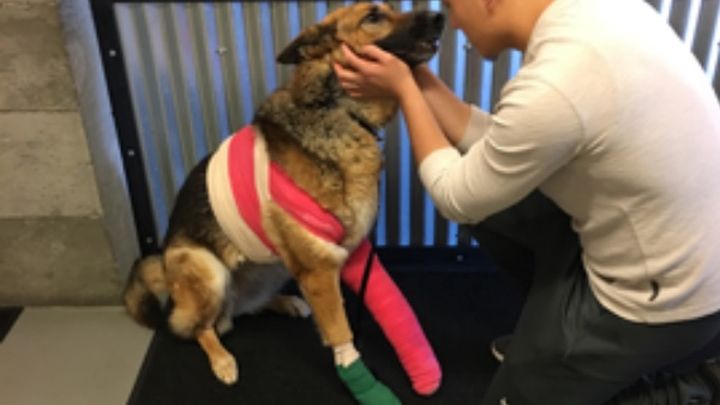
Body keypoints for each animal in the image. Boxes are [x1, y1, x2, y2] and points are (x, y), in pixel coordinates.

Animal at [124, 2, 444, 386]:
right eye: (373, 17)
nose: (441, 17)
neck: (338, 111)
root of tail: (164, 266)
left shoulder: (346, 250)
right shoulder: (319, 267)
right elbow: (340, 329)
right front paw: (357, 375)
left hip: (275, 267)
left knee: (241, 307)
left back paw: (284, 302)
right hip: (209, 271)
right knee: (199, 326)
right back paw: (222, 359)